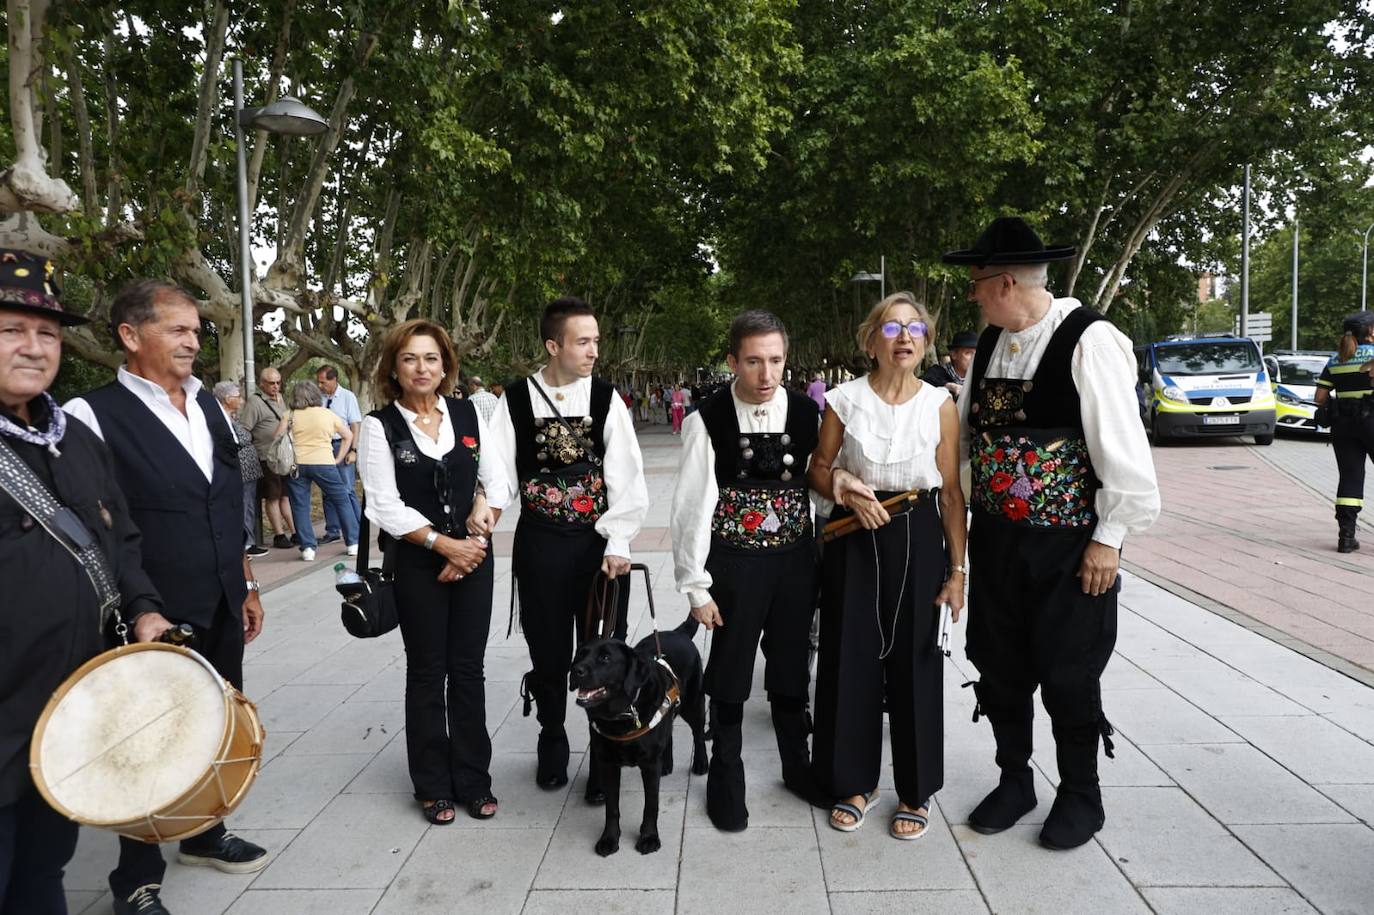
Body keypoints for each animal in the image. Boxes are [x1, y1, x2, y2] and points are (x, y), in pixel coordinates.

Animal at [568, 615, 708, 851]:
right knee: (668, 731)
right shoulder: (608, 763)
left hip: (693, 704)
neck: (621, 714)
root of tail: (678, 632)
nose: (576, 670)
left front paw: (649, 837)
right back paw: (667, 763)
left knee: (698, 734)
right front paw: (609, 839)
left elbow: (651, 805)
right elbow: (612, 808)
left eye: (605, 658)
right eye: (579, 655)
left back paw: (701, 762)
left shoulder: (649, 765)